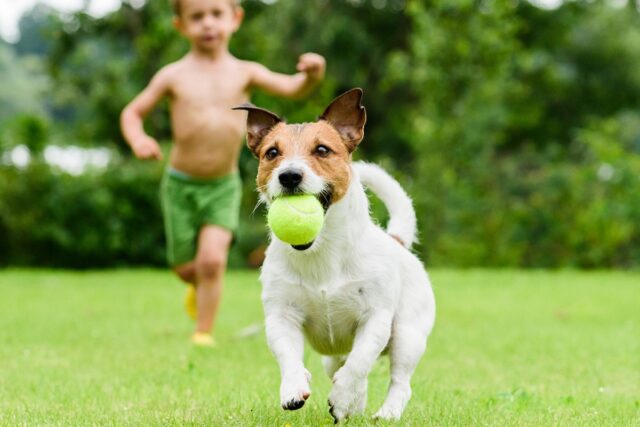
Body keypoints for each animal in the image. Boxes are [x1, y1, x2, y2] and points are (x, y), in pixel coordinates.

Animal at [235, 88, 436, 422]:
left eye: (322, 149)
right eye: (272, 153)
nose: (289, 175)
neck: (321, 252)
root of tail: (396, 240)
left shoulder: (375, 319)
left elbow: (359, 362)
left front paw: (341, 397)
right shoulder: (281, 315)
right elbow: (288, 355)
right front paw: (293, 389)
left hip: (408, 334)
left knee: (398, 380)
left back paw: (385, 412)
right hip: (335, 354)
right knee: (344, 367)